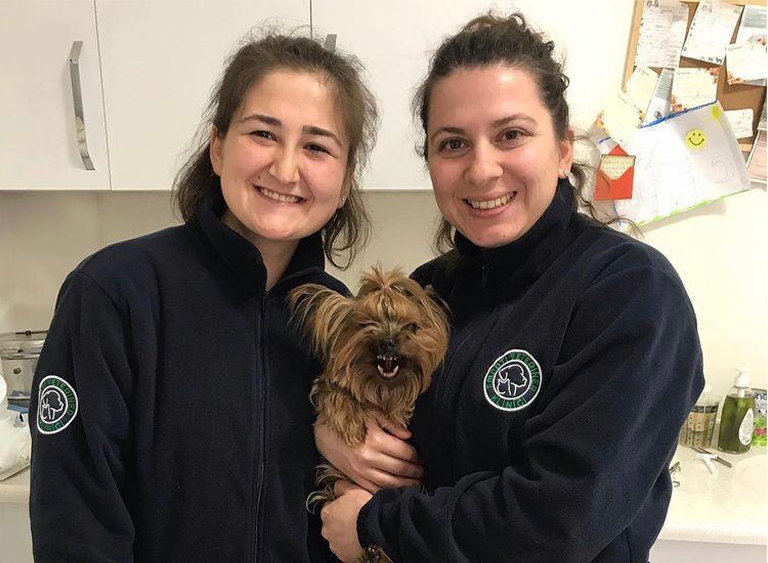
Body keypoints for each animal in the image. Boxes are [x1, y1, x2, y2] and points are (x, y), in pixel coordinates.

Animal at [289, 266, 449, 563]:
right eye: (365, 324)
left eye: (412, 327)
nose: (388, 342)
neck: (381, 390)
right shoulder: (327, 387)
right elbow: (334, 392)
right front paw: (352, 426)